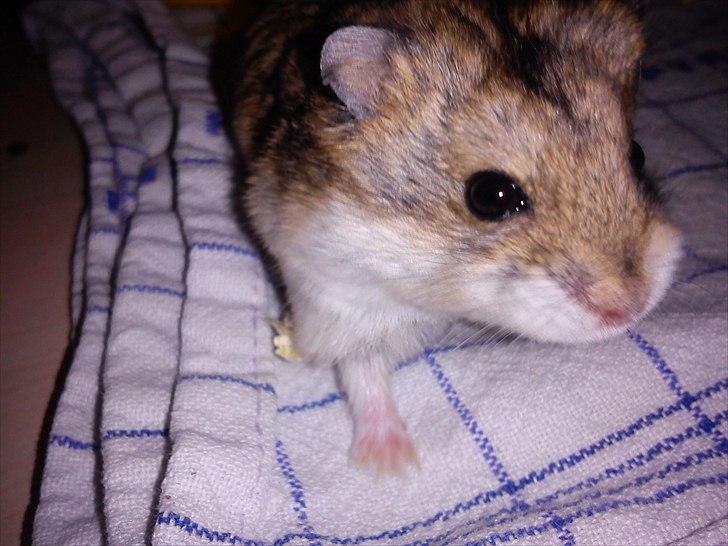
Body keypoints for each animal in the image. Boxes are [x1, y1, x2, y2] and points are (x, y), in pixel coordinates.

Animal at [230, 0, 682, 473]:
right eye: (490, 195)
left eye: (637, 155)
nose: (630, 307)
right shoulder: (334, 290)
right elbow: (363, 368)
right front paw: (392, 467)